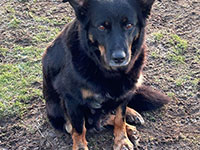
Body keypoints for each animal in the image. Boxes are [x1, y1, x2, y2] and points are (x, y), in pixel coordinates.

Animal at [42, 0, 170, 149]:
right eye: (102, 27)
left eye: (129, 25)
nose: (119, 58)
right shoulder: (72, 100)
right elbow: (79, 129)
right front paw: (80, 146)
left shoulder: (125, 90)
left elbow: (120, 117)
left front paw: (122, 140)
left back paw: (131, 119)